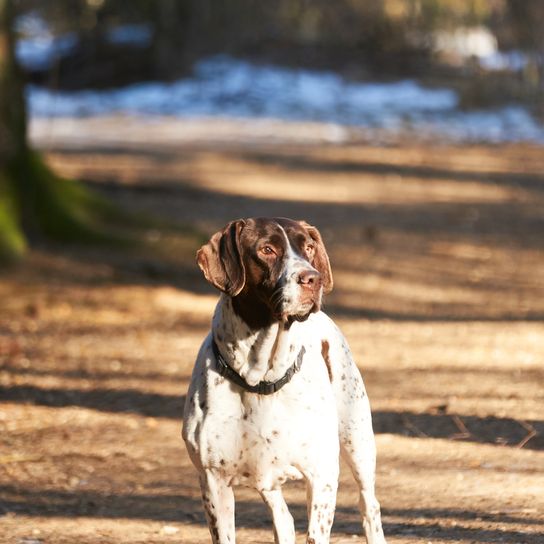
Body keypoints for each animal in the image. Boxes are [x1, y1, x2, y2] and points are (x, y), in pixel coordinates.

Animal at [183, 218, 386, 544]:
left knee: (369, 505)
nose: (313, 278)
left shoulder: (322, 477)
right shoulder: (214, 483)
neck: (259, 378)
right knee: (284, 518)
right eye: (267, 250)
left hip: (358, 443)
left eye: (309, 247)